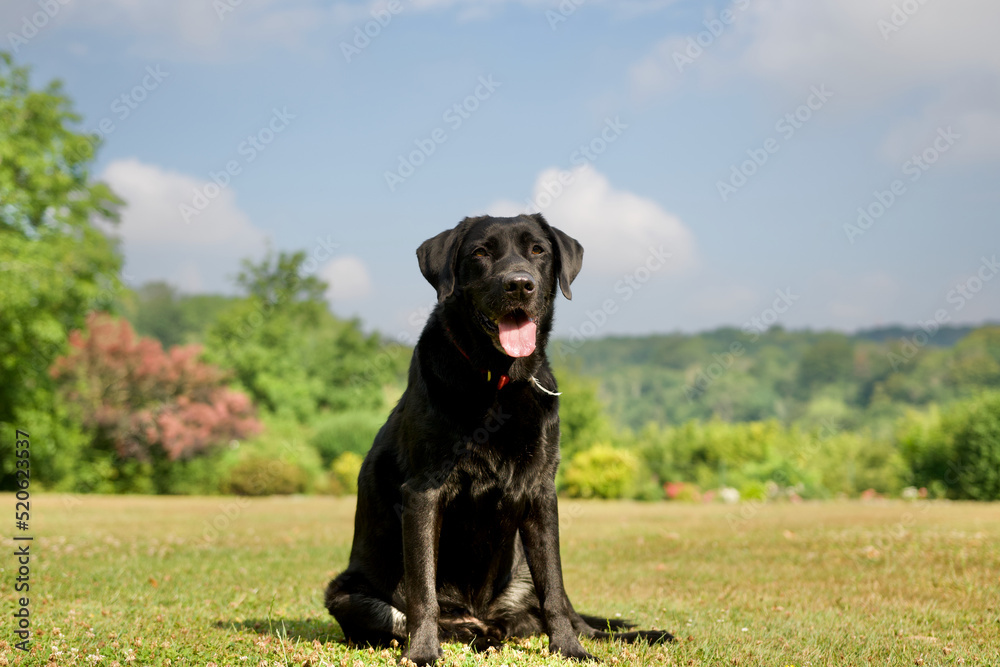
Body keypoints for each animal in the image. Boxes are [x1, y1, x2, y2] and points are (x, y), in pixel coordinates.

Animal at [326, 213, 672, 664]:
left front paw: (569, 650)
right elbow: (423, 591)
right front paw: (422, 653)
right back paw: (476, 635)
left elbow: (554, 588)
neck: (498, 381)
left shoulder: (542, 493)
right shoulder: (423, 492)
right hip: (345, 595)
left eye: (538, 250)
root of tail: (480, 614)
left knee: (567, 613)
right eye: (480, 253)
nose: (519, 284)